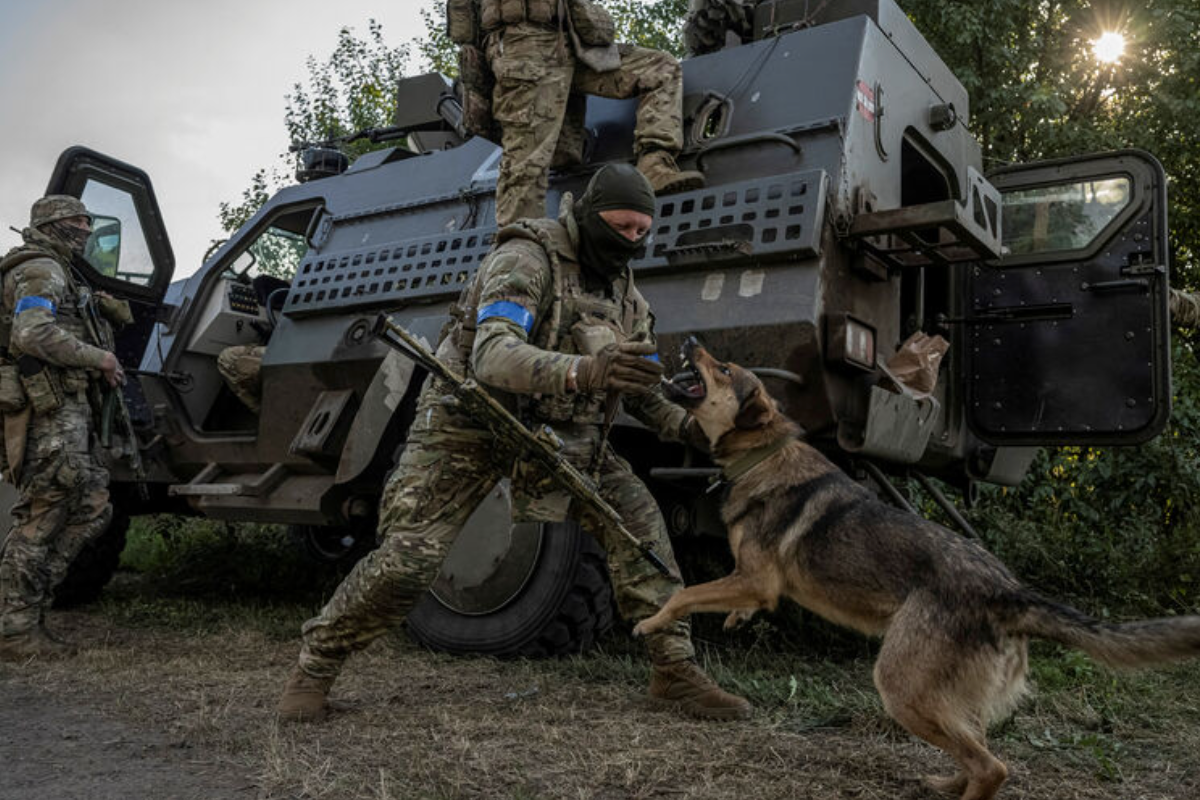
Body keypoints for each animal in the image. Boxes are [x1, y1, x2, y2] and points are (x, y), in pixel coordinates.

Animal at [638, 340, 1200, 800]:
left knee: (993, 767)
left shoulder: (753, 578)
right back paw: (948, 782)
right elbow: (724, 600)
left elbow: (683, 594)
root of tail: (1010, 592)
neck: (762, 454)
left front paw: (650, 622)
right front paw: (736, 619)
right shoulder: (753, 584)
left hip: (900, 685)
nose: (691, 341)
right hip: (939, 695)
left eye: (724, 369)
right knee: (975, 744)